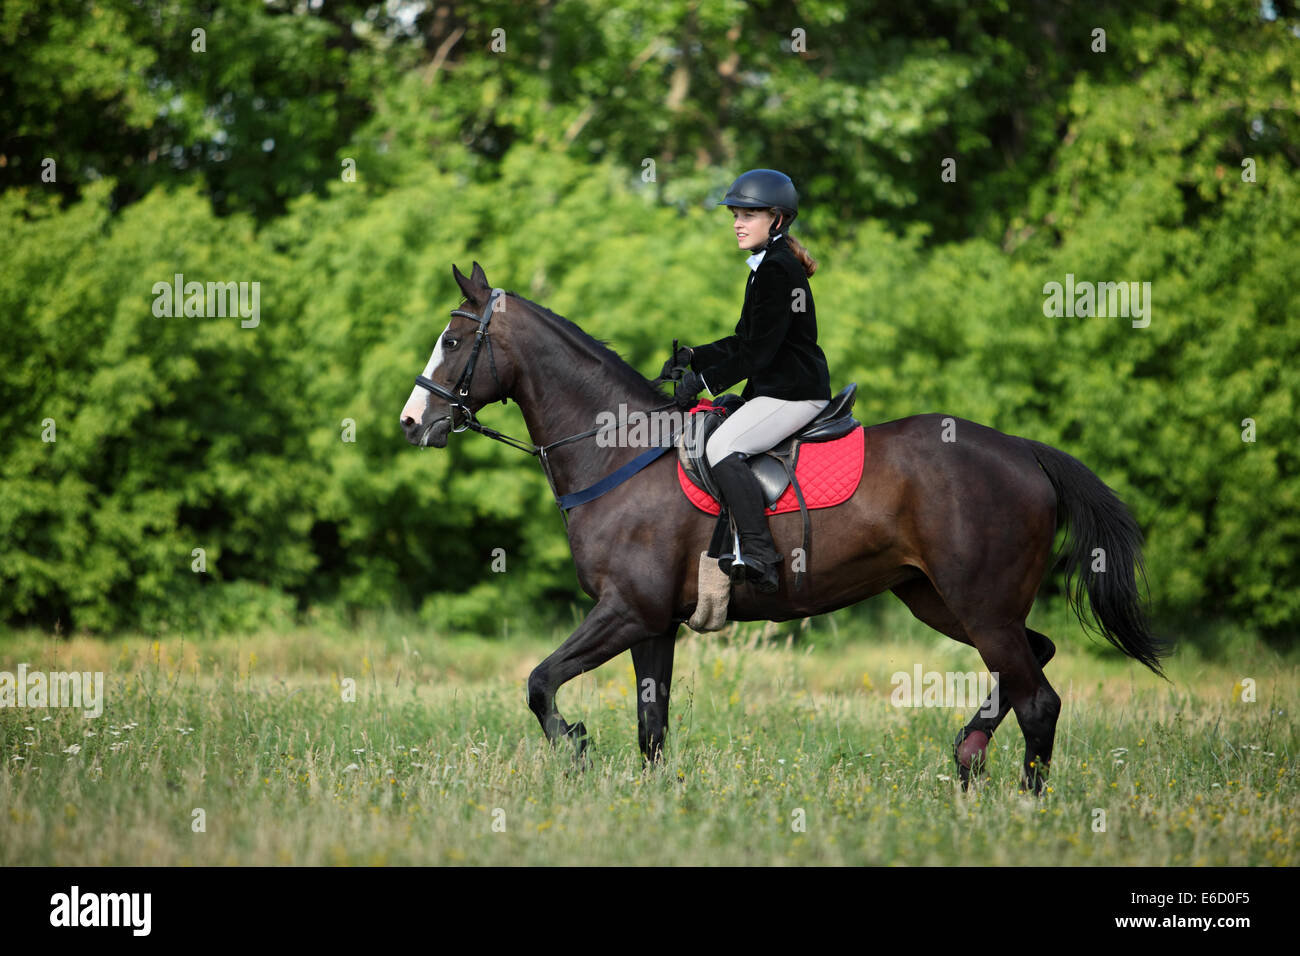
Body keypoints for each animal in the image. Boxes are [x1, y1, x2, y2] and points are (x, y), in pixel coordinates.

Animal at [395, 261, 1170, 790]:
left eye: (453, 339)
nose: (411, 423)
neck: (619, 452)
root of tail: (1025, 452)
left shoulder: (626, 610)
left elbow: (538, 682)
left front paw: (578, 748)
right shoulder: (653, 624)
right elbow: (652, 726)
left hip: (979, 603)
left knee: (1039, 698)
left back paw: (1026, 800)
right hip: (941, 599)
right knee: (1033, 659)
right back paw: (969, 753)